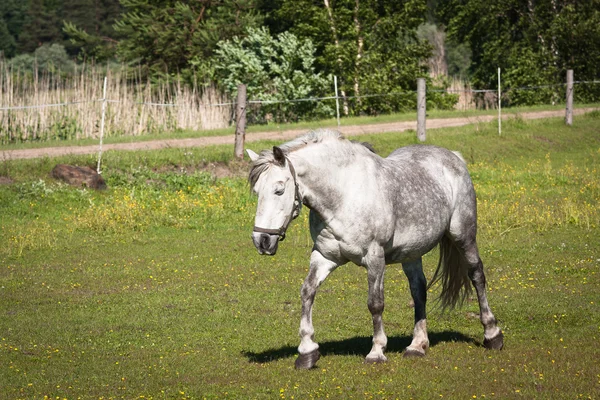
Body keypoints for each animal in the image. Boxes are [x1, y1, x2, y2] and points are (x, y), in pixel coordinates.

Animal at [246, 129, 504, 368]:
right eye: (257, 192)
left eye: (279, 190)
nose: (262, 241)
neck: (344, 194)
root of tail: (454, 157)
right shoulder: (324, 257)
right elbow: (307, 292)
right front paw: (307, 352)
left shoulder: (375, 257)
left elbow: (375, 303)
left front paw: (377, 351)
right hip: (411, 252)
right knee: (419, 291)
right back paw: (417, 345)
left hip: (464, 236)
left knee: (477, 275)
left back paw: (492, 334)